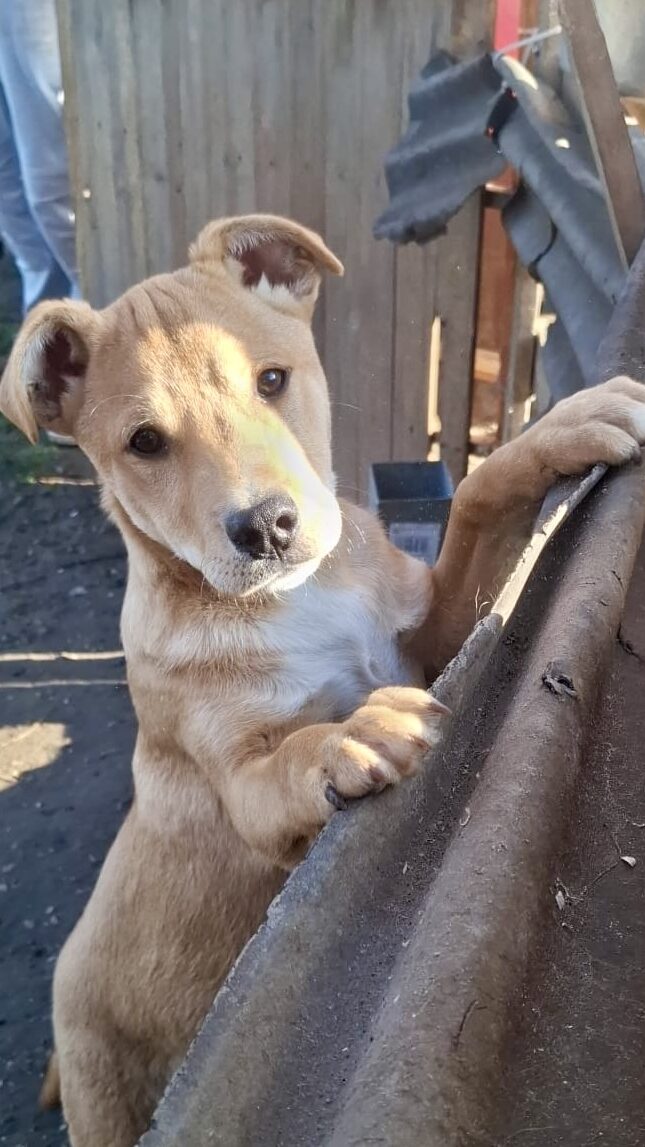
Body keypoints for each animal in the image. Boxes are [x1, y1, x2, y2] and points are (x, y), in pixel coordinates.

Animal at [2, 214, 644, 1147]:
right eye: (144, 443)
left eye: (272, 379)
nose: (266, 526)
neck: (294, 598)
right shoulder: (241, 782)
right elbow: (293, 751)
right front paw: (357, 732)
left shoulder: (430, 628)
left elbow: (476, 498)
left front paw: (567, 423)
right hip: (104, 1087)